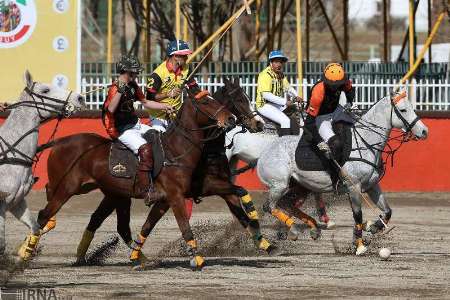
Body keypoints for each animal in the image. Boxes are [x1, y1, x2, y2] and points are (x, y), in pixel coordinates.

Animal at [256, 91, 428, 255]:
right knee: (269, 206)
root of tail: (265, 150)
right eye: (403, 110)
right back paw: (293, 230)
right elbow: (357, 214)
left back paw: (312, 228)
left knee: (286, 203)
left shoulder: (372, 186)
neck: (367, 143)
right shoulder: (354, 187)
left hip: (300, 186)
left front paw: (372, 226)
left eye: (412, 108)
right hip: (279, 184)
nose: (424, 131)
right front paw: (360, 245)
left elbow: (387, 211)